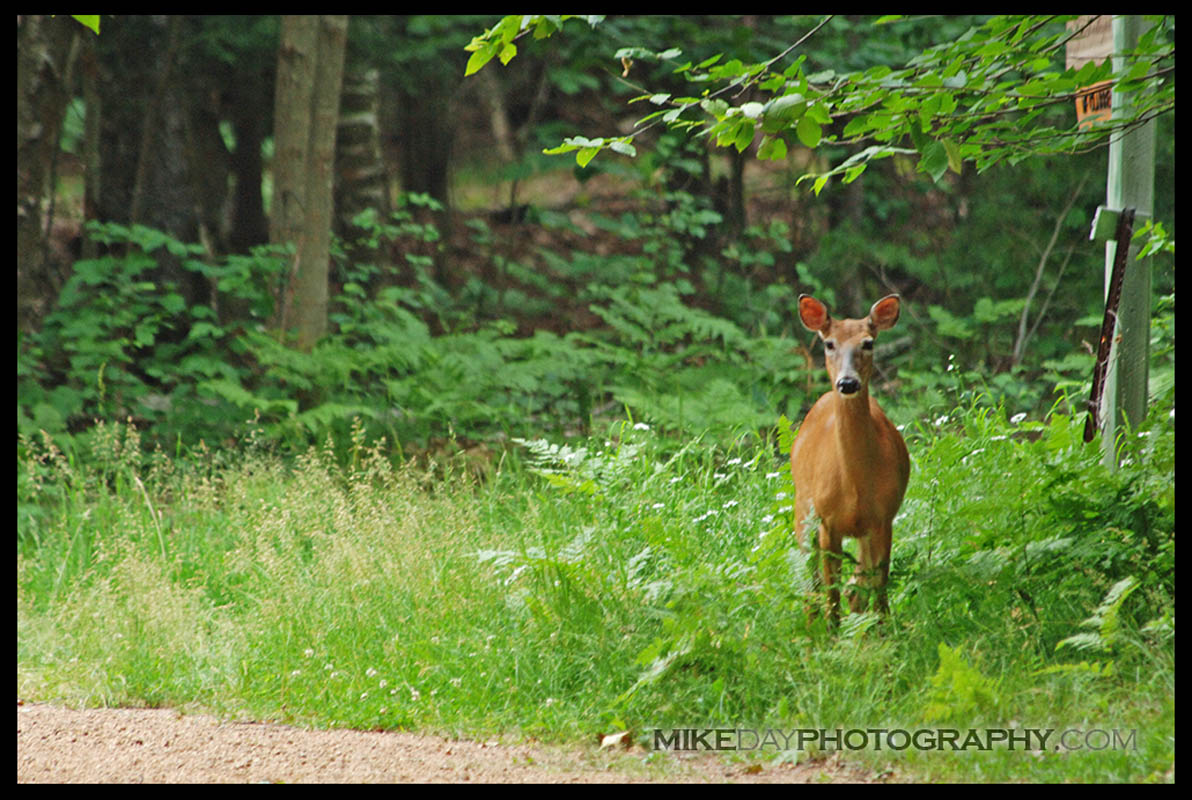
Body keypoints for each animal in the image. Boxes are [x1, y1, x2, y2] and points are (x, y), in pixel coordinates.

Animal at [791, 294, 910, 624]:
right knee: (810, 583)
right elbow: (830, 592)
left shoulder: (883, 518)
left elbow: (878, 588)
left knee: (857, 586)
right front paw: (833, 633)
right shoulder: (827, 522)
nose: (847, 383)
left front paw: (882, 631)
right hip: (802, 509)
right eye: (829, 343)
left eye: (868, 343)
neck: (855, 484)